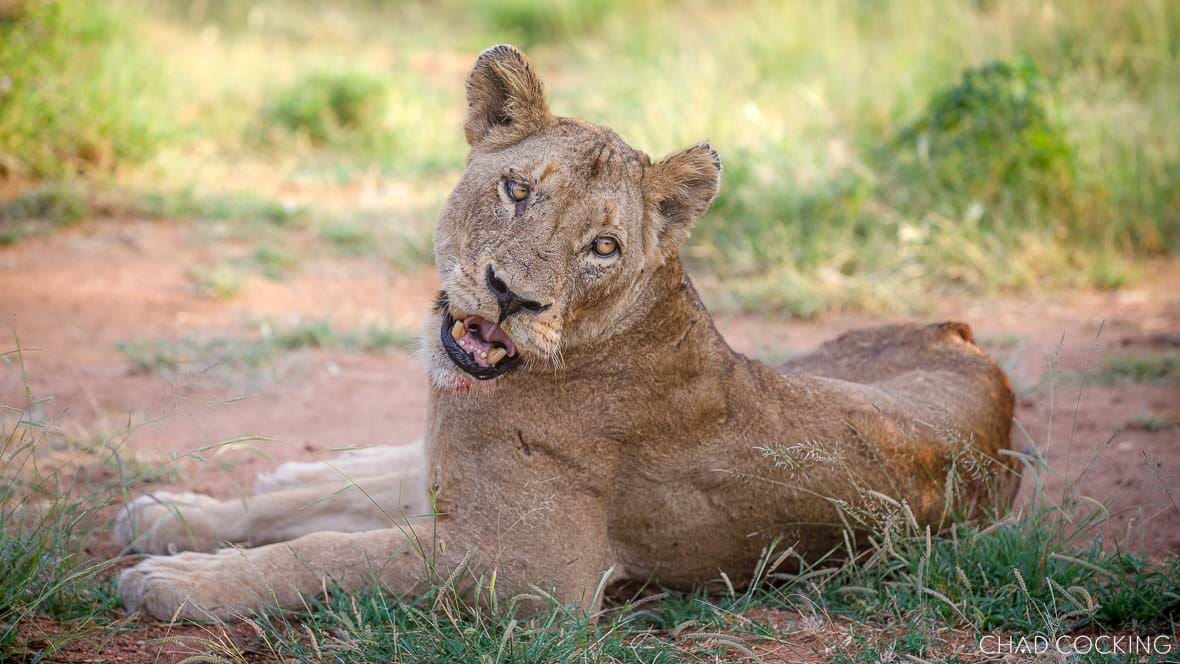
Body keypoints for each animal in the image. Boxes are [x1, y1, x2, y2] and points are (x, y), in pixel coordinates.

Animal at [115, 44, 1019, 621]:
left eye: (603, 247)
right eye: (517, 189)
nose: (511, 297)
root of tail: (970, 339)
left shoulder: (528, 574)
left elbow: (333, 553)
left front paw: (176, 581)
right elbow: (312, 514)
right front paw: (169, 519)